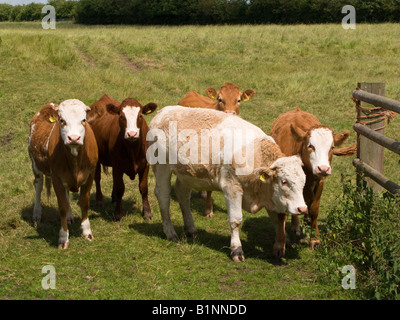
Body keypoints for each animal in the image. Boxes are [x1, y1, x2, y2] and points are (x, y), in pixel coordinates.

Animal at [28, 99, 98, 249]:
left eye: (84, 120)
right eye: (62, 120)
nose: (74, 138)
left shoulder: (90, 175)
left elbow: (84, 202)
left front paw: (87, 232)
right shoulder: (57, 178)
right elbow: (62, 207)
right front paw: (63, 237)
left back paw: (70, 217)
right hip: (35, 164)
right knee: (38, 186)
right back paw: (37, 213)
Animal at [268, 107, 354, 248]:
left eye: (332, 147)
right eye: (310, 146)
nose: (323, 168)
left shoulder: (320, 182)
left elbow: (314, 209)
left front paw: (315, 239)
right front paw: (281, 242)